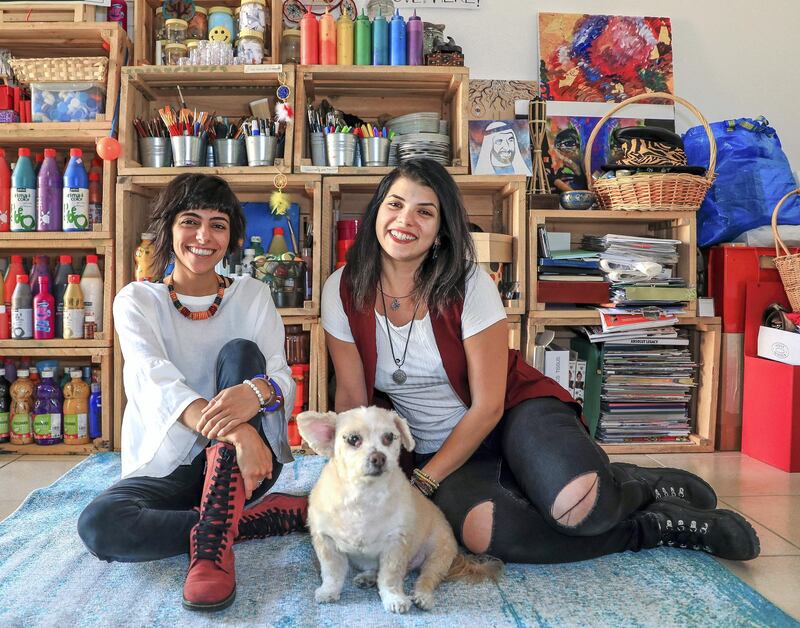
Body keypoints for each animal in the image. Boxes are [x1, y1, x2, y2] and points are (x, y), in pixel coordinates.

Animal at [296, 408, 504, 612]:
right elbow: (332, 572)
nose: (379, 457)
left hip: (438, 554)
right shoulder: (326, 541)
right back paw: (368, 577)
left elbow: (390, 578)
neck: (364, 496)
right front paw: (328, 591)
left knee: (427, 577)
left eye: (389, 437)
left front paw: (394, 599)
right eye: (353, 439)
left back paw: (422, 596)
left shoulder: (396, 544)